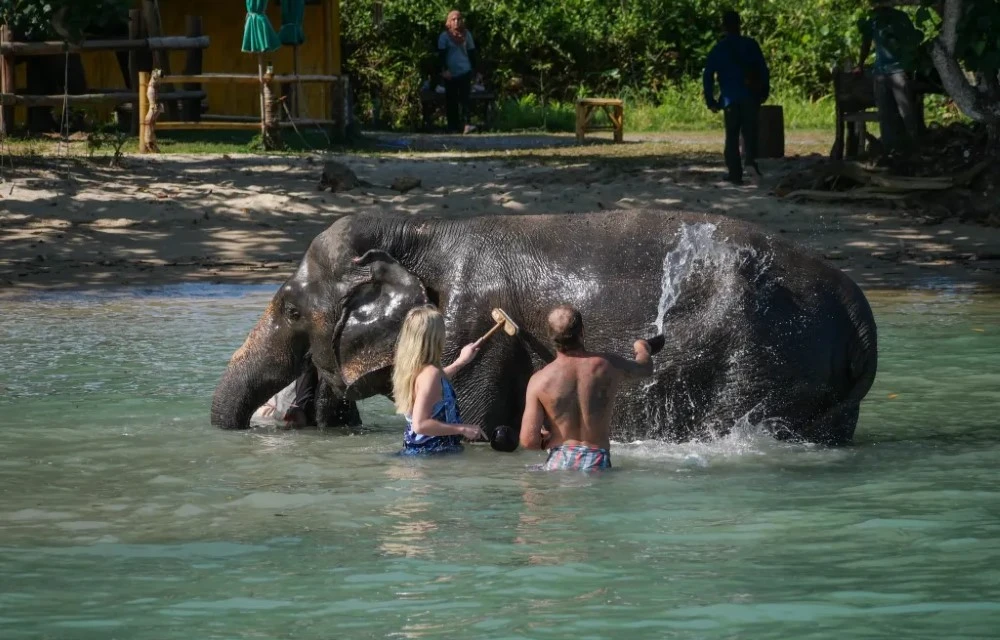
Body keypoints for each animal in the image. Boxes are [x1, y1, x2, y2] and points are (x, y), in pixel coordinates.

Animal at [211, 210, 878, 445]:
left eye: (290, 311)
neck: (418, 231)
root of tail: (861, 320)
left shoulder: (469, 324)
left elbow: (475, 423)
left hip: (763, 361)